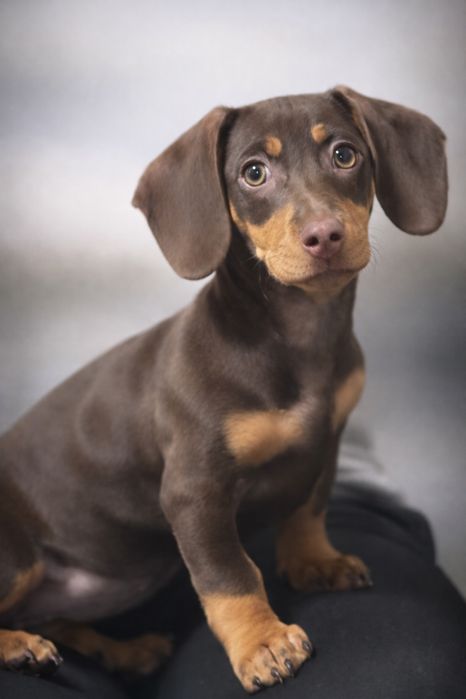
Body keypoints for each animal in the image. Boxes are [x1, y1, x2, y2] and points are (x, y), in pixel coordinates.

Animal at [0, 86, 447, 692]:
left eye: (345, 154)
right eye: (253, 173)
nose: (325, 236)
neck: (296, 335)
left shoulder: (327, 442)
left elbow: (309, 504)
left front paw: (313, 560)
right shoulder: (194, 491)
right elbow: (230, 574)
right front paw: (262, 643)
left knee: (62, 621)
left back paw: (124, 651)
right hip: (16, 558)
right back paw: (20, 645)